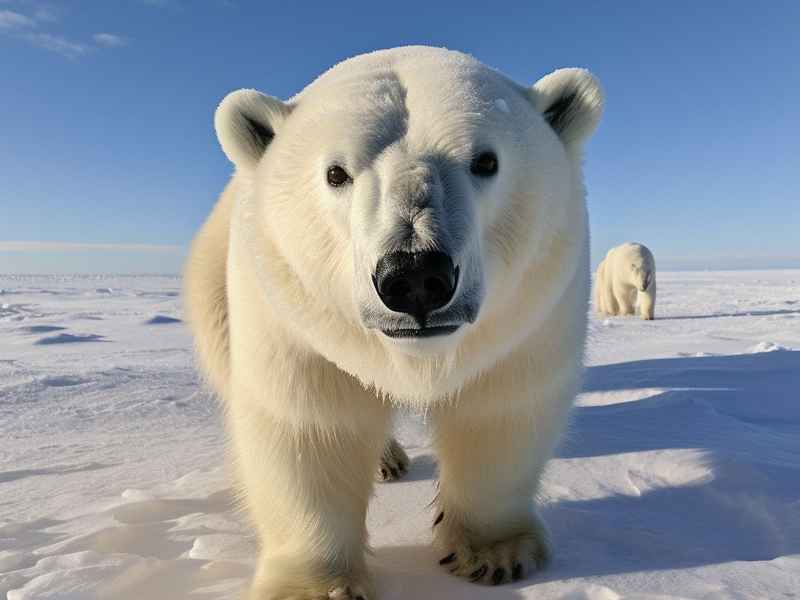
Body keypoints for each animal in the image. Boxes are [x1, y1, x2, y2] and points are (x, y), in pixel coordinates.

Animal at [184, 46, 603, 599]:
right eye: (336, 173)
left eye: (486, 161)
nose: (416, 275)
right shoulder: (290, 317)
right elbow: (310, 423)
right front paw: (315, 587)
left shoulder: (533, 311)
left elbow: (500, 408)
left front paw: (495, 553)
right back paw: (385, 460)